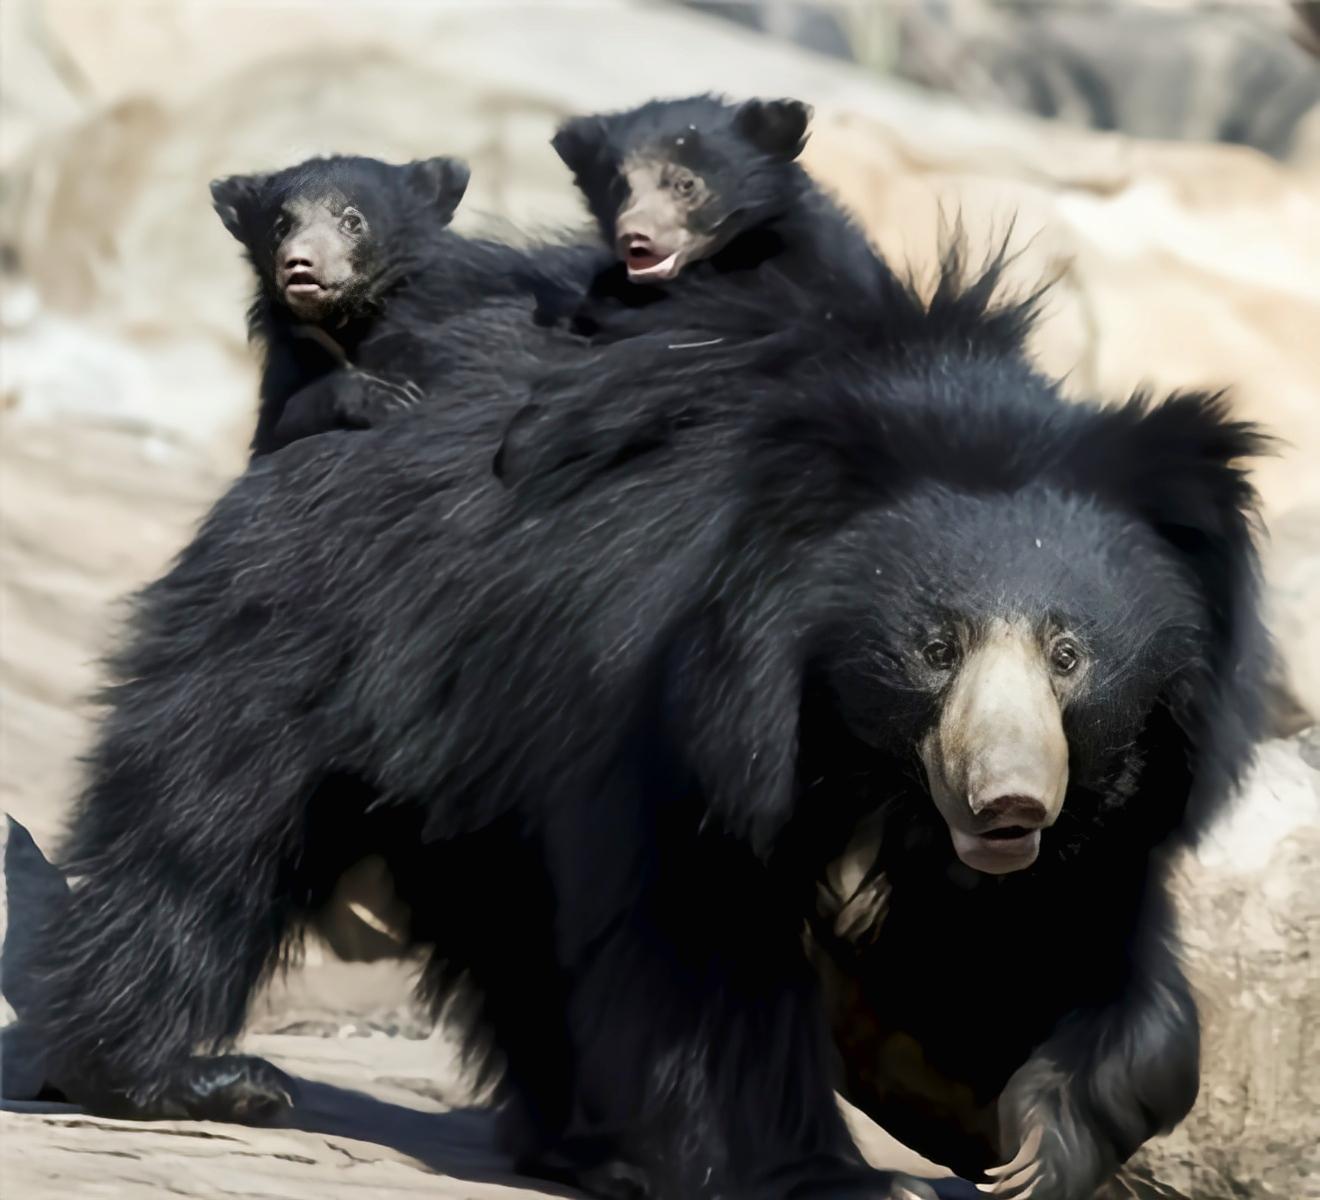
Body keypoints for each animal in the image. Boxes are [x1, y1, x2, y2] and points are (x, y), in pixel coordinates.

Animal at [31, 245, 1267, 1198]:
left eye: (1069, 653)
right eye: (935, 647)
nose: (1009, 802)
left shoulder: (1114, 777)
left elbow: (1042, 932)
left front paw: (1045, 1137)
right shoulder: (670, 684)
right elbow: (699, 935)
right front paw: (843, 1178)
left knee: (512, 922)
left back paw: (586, 1147)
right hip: (315, 620)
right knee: (208, 823)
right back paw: (176, 1075)